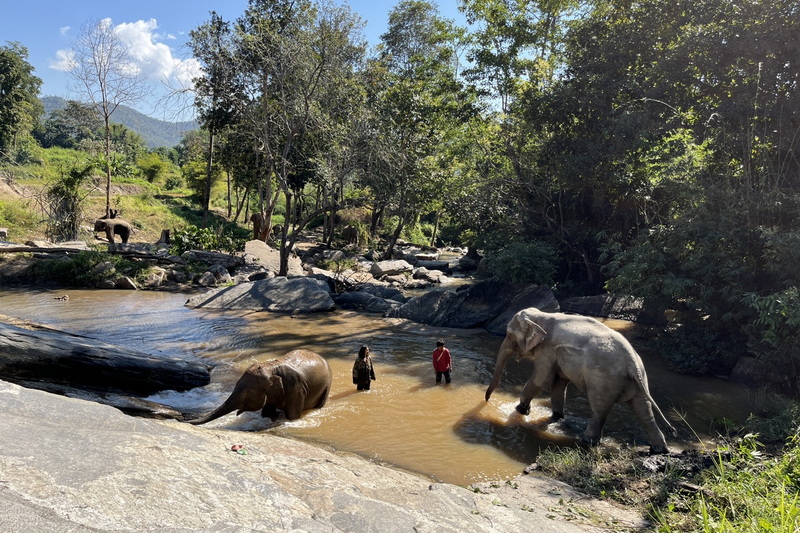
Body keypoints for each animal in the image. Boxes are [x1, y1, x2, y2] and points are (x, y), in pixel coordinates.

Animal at [190, 349, 333, 424]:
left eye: (247, 392)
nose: (185, 420)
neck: (271, 367)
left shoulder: (296, 389)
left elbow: (292, 417)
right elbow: (266, 413)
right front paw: (271, 417)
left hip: (328, 384)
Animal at [485, 308, 676, 453]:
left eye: (509, 334)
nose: (486, 400)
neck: (541, 315)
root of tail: (632, 361)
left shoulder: (547, 349)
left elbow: (541, 379)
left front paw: (521, 411)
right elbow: (559, 383)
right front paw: (556, 417)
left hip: (602, 379)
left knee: (600, 410)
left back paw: (587, 441)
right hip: (638, 379)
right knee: (644, 410)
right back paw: (659, 449)